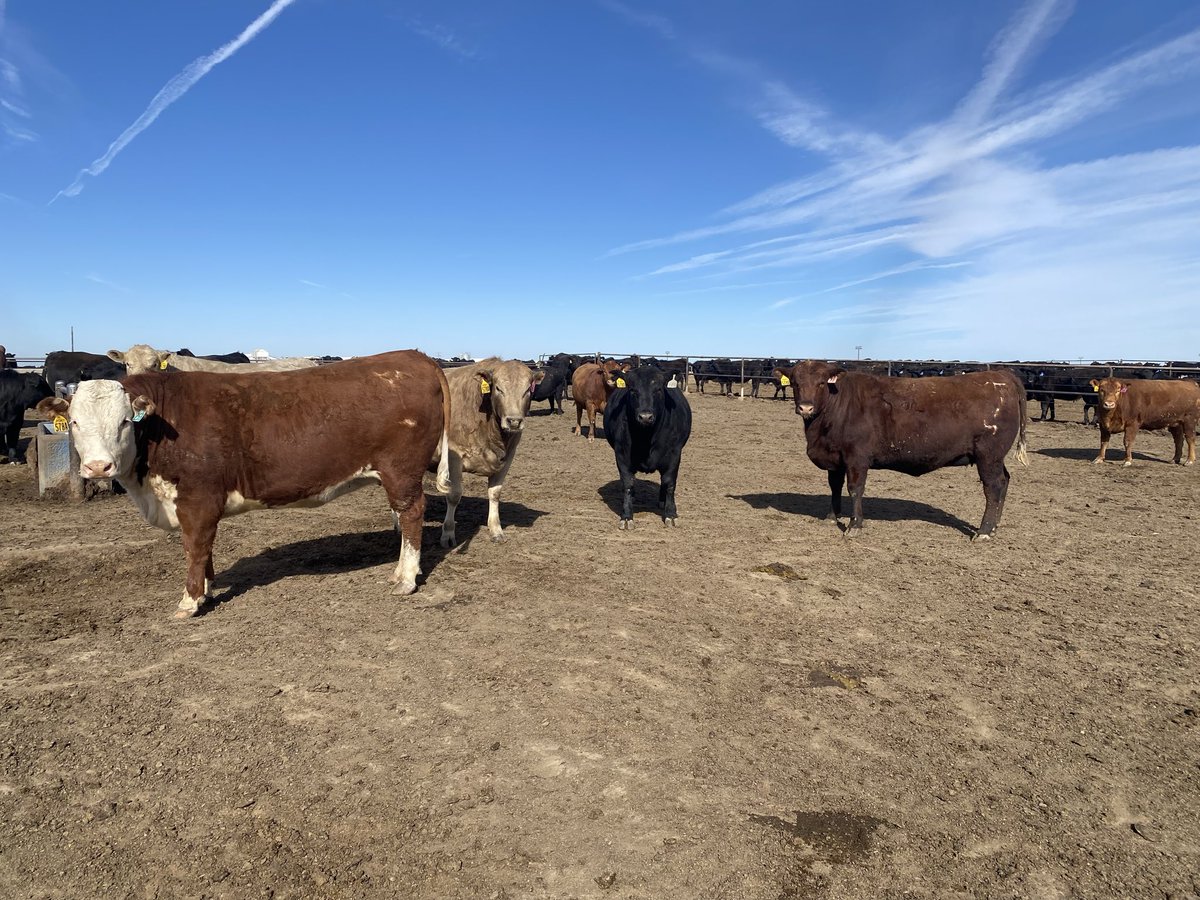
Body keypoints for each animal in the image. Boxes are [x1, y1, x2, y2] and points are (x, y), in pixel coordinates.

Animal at [37, 351, 451, 618]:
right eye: (75, 423)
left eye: (124, 421)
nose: (98, 466)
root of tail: (414, 356)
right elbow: (204, 549)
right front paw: (207, 589)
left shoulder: (198, 497)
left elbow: (195, 545)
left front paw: (190, 601)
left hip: (401, 470)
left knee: (412, 514)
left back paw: (406, 578)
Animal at [432, 358, 543, 547]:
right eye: (498, 388)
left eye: (528, 389)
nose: (514, 421)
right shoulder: (453, 456)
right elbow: (454, 495)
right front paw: (448, 533)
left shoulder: (508, 457)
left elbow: (495, 493)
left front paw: (496, 530)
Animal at [603, 366, 692, 529]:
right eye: (632, 389)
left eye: (658, 389)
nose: (645, 416)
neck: (646, 437)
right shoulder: (621, 455)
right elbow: (628, 483)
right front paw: (627, 516)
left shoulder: (674, 455)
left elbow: (669, 483)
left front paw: (671, 514)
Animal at [786, 360, 1028, 541]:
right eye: (795, 383)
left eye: (821, 383)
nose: (805, 407)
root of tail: (1002, 375)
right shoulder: (835, 458)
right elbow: (834, 487)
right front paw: (831, 517)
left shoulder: (857, 458)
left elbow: (855, 489)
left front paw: (854, 526)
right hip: (995, 457)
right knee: (1005, 481)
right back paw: (994, 527)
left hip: (988, 455)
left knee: (993, 487)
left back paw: (984, 531)